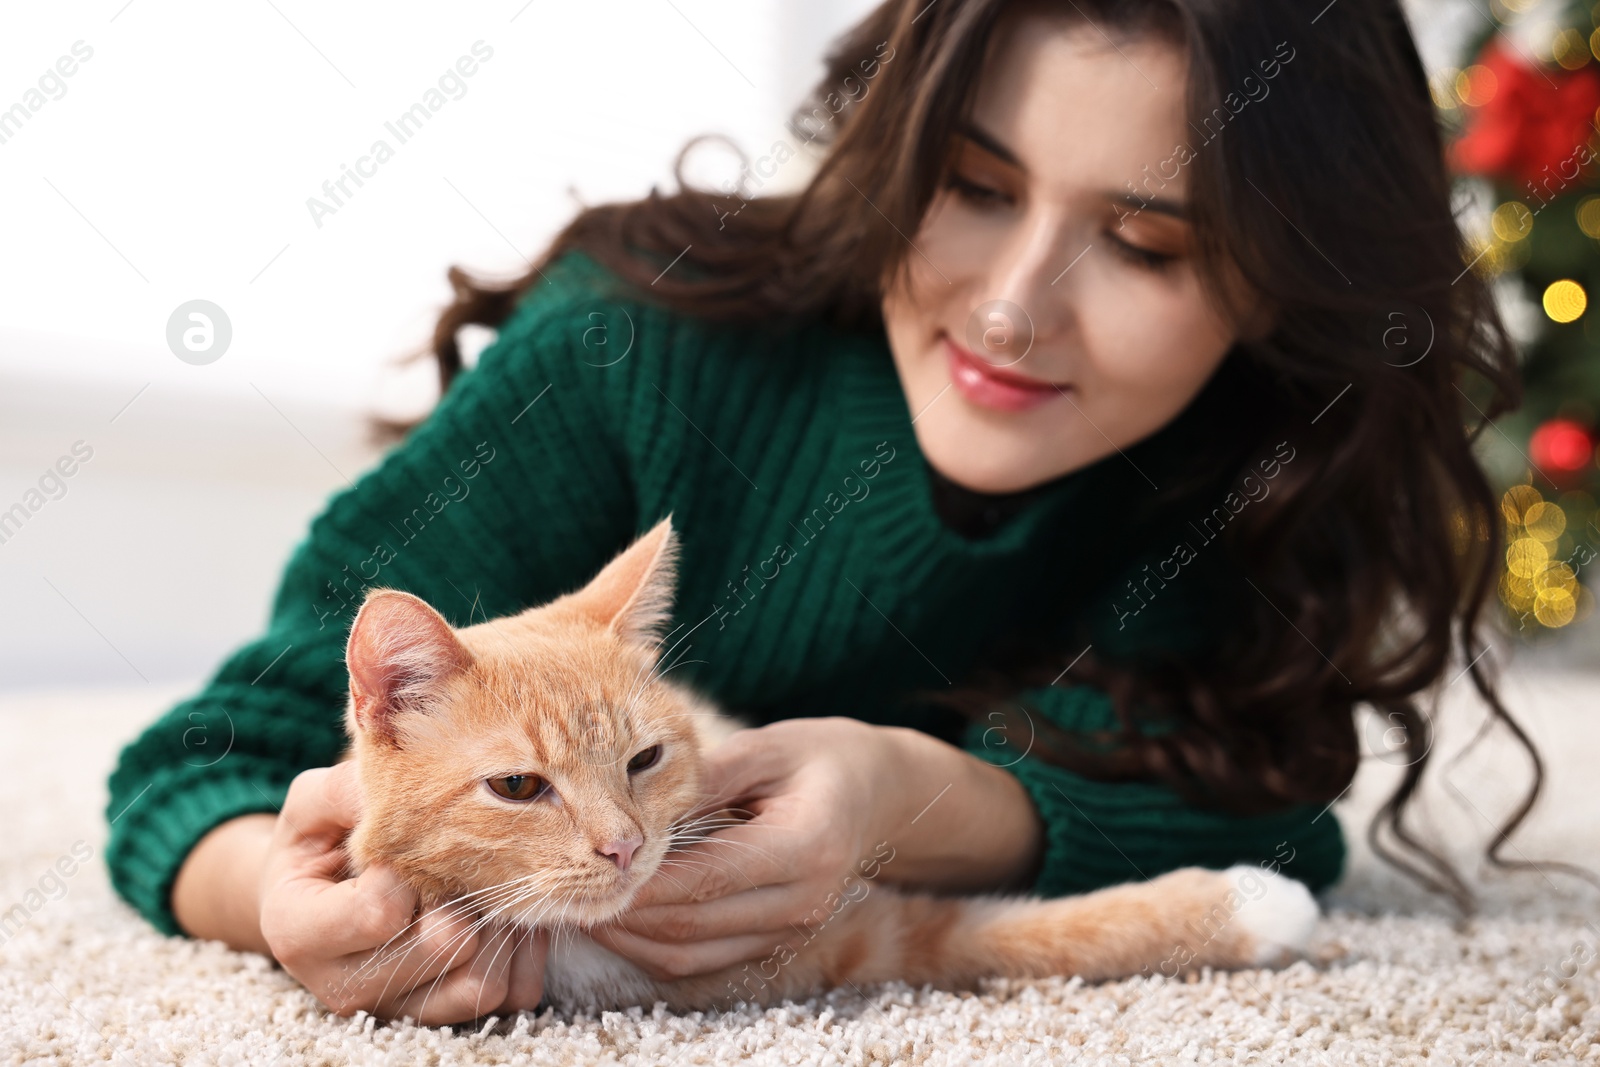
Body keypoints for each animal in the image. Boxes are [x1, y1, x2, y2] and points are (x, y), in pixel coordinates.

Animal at [337, 518, 1312, 1017]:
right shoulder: (888, 941)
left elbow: (1064, 926)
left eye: (645, 758)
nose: (624, 846)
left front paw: (1253, 902)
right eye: (518, 787)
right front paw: (1257, 906)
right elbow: (1016, 933)